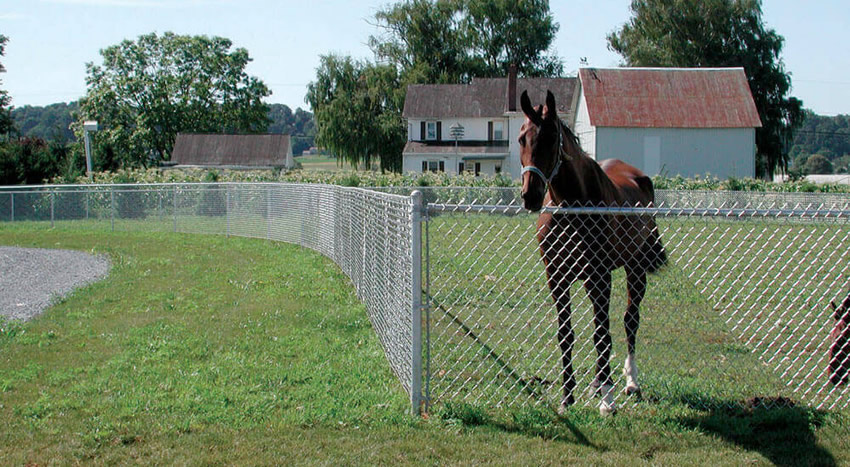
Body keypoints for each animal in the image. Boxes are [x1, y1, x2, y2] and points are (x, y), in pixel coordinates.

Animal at [512, 89, 664, 414]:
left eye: (551, 138)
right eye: (521, 138)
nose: (530, 195)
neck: (573, 208)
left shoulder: (599, 277)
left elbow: (601, 334)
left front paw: (608, 400)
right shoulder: (557, 278)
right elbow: (566, 334)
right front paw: (567, 397)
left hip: (634, 269)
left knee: (630, 320)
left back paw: (629, 382)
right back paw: (597, 382)